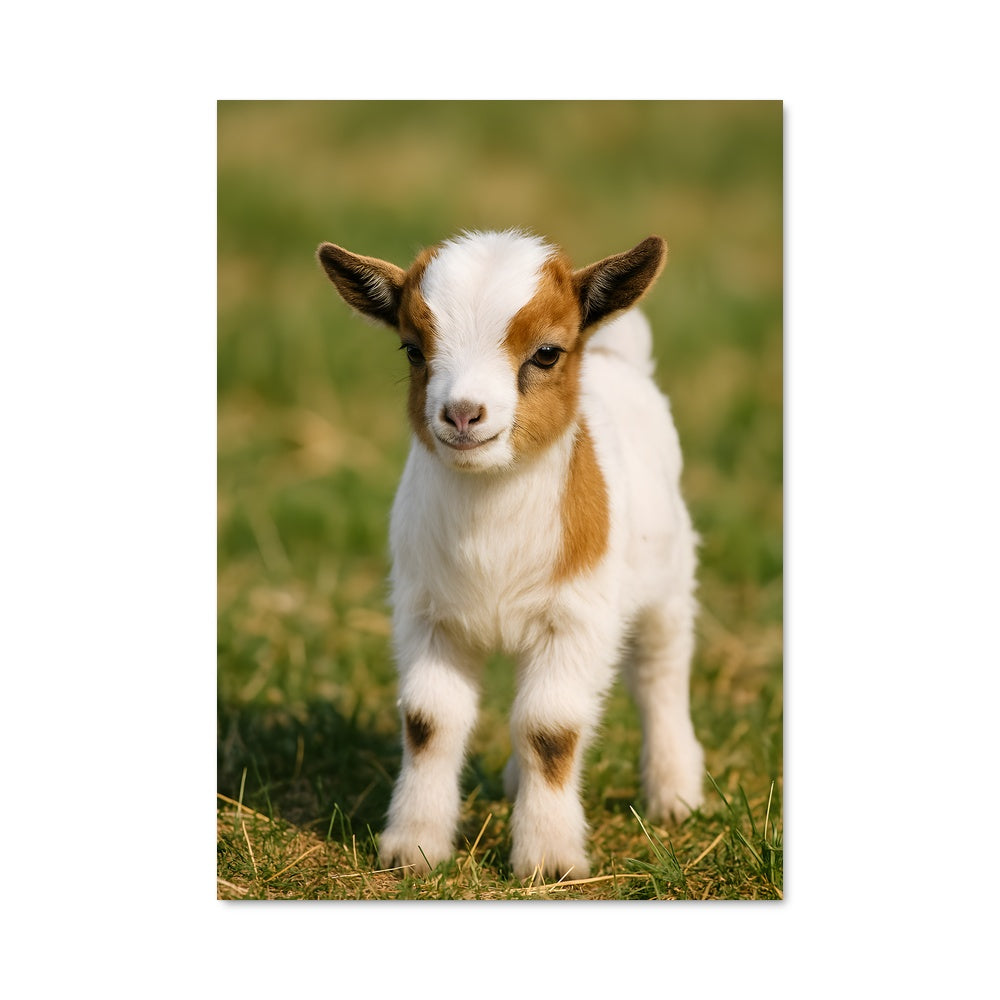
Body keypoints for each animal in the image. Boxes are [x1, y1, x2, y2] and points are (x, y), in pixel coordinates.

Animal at [317, 229, 703, 880]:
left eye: (546, 353)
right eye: (412, 349)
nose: (462, 414)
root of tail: (618, 355)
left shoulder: (575, 617)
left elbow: (552, 730)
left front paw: (548, 860)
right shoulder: (428, 614)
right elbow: (430, 722)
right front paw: (414, 848)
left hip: (668, 575)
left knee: (660, 670)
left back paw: (676, 793)